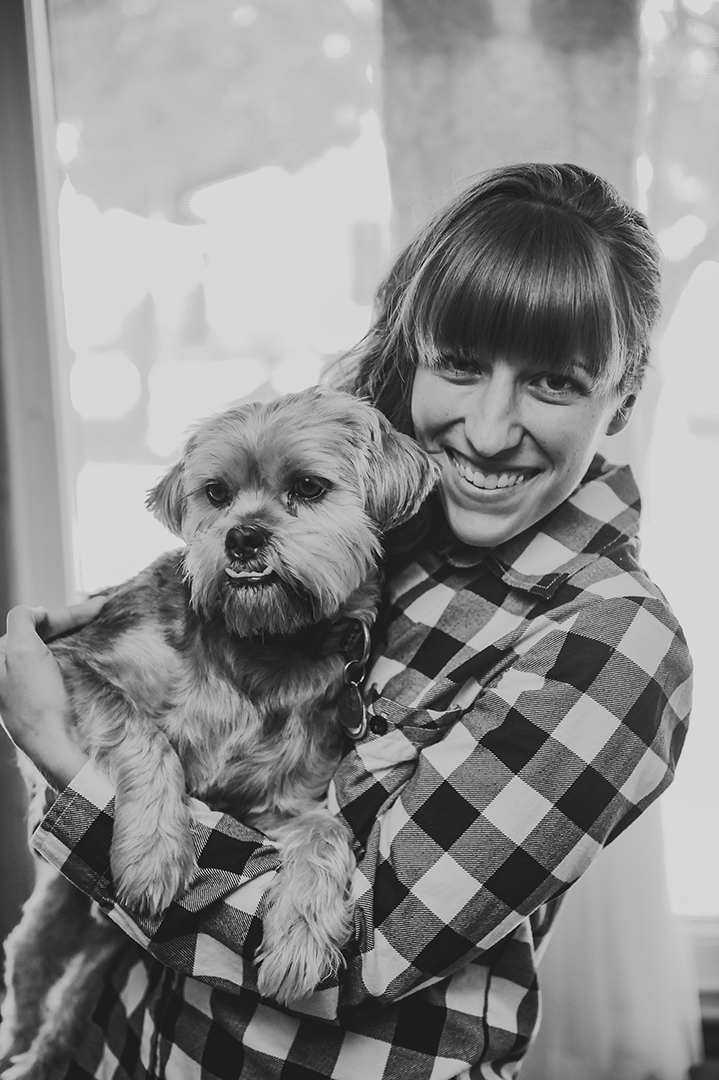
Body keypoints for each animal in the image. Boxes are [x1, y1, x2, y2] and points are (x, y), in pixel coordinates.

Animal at [0, 388, 436, 1080]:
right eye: (216, 493)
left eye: (308, 487)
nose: (242, 537)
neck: (262, 645)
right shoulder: (73, 661)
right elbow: (144, 733)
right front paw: (154, 853)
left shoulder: (273, 809)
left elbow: (327, 830)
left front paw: (301, 935)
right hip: (59, 913)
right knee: (29, 960)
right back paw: (18, 1044)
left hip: (100, 942)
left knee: (70, 998)